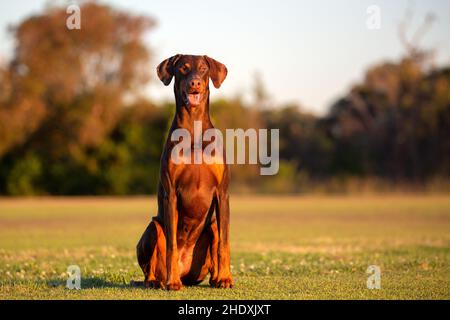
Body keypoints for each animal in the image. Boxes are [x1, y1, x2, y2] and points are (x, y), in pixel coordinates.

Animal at [134, 54, 232, 290]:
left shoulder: (222, 193)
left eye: (204, 69)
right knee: (150, 265)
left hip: (211, 226)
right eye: (183, 68)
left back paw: (217, 278)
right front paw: (172, 282)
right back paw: (157, 281)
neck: (194, 129)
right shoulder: (171, 193)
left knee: (216, 236)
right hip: (153, 227)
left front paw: (226, 278)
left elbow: (224, 243)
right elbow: (171, 245)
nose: (195, 83)